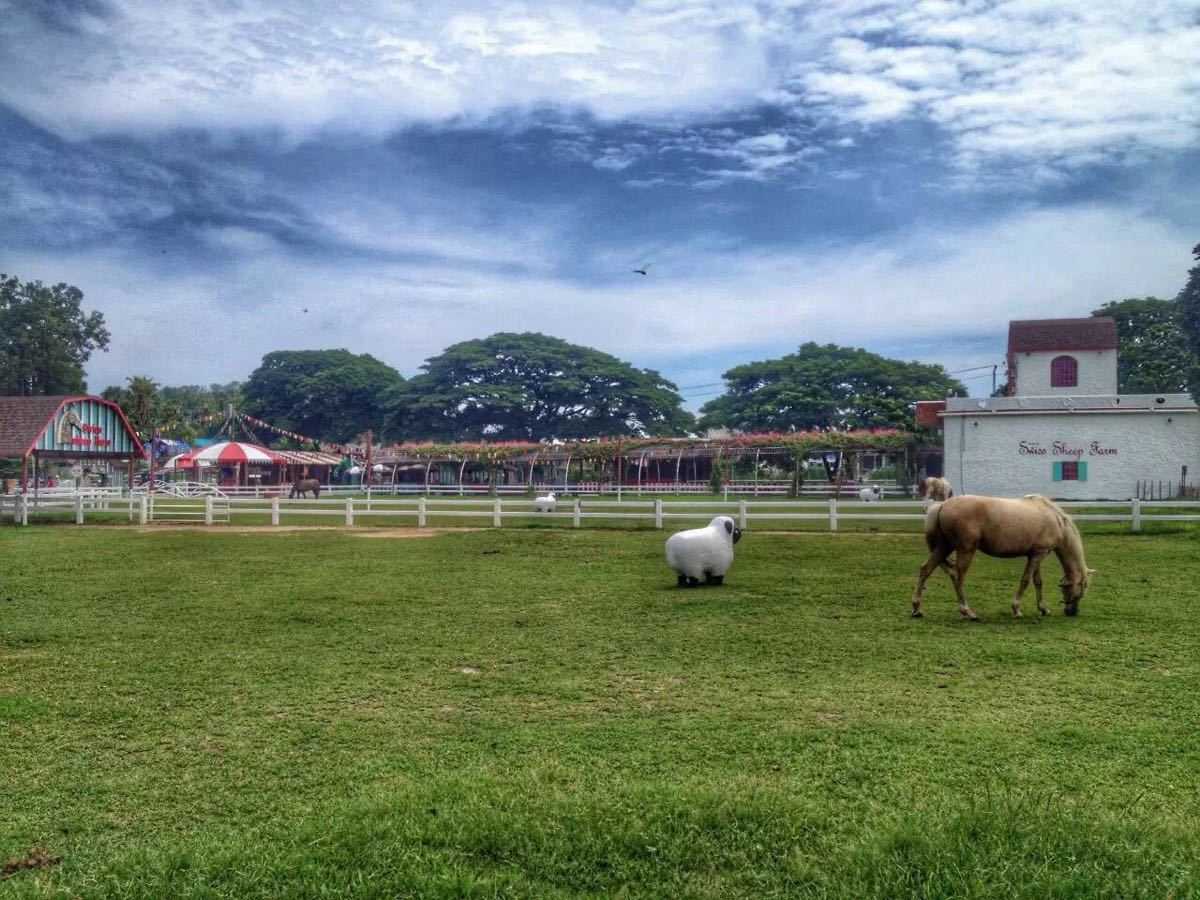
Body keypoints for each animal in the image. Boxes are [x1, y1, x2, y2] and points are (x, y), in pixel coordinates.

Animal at [907, 496, 1099, 624]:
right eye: (1082, 589)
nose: (1072, 612)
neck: (1055, 519)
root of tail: (942, 505)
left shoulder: (1035, 554)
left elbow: (1038, 582)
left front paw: (1043, 608)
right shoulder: (1039, 554)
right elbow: (1026, 580)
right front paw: (1016, 609)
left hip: (944, 547)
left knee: (925, 570)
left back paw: (917, 609)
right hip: (965, 549)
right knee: (957, 577)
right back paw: (968, 612)